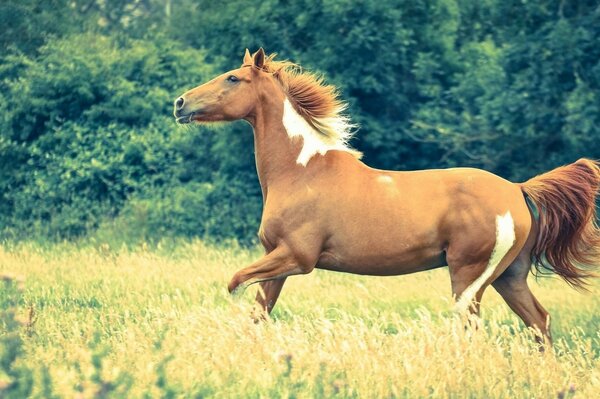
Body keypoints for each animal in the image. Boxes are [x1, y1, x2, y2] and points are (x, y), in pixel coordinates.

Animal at [173, 49, 600, 344]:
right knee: (539, 322)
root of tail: (517, 190)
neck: (301, 171)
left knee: (474, 328)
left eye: (232, 78)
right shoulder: (275, 260)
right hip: (508, 277)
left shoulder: (297, 257)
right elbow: (259, 313)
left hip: (469, 275)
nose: (180, 103)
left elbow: (234, 283)